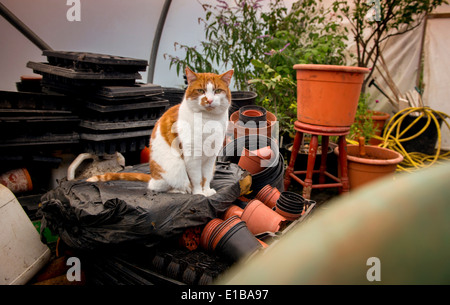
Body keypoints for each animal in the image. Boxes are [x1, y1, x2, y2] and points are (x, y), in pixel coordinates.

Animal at [89, 66, 236, 197]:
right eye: (201, 90)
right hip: (173, 168)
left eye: (217, 91)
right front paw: (199, 193)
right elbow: (196, 178)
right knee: (159, 187)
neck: (208, 120)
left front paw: (206, 191)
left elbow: (205, 177)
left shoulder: (211, 157)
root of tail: (152, 177)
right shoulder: (192, 156)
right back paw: (182, 190)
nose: (209, 100)